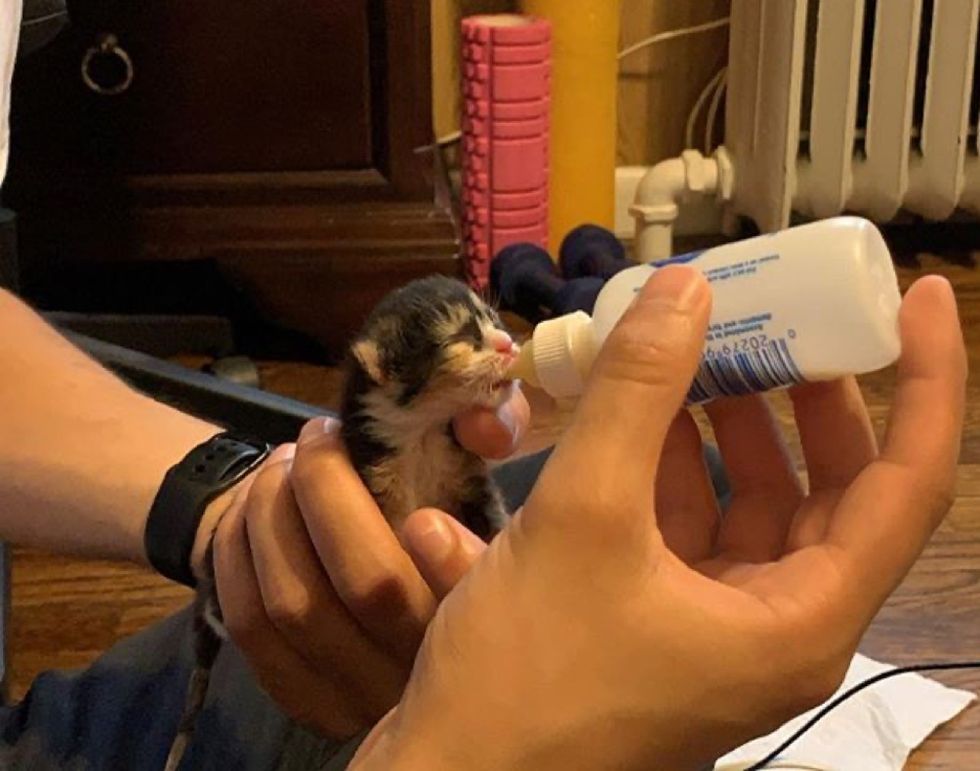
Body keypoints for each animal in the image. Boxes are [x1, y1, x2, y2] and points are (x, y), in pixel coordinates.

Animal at [167, 274, 520, 768]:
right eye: (465, 337)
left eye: (492, 320)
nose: (509, 344)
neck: (421, 434)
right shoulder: (377, 476)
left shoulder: (469, 481)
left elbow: (491, 514)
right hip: (214, 604)